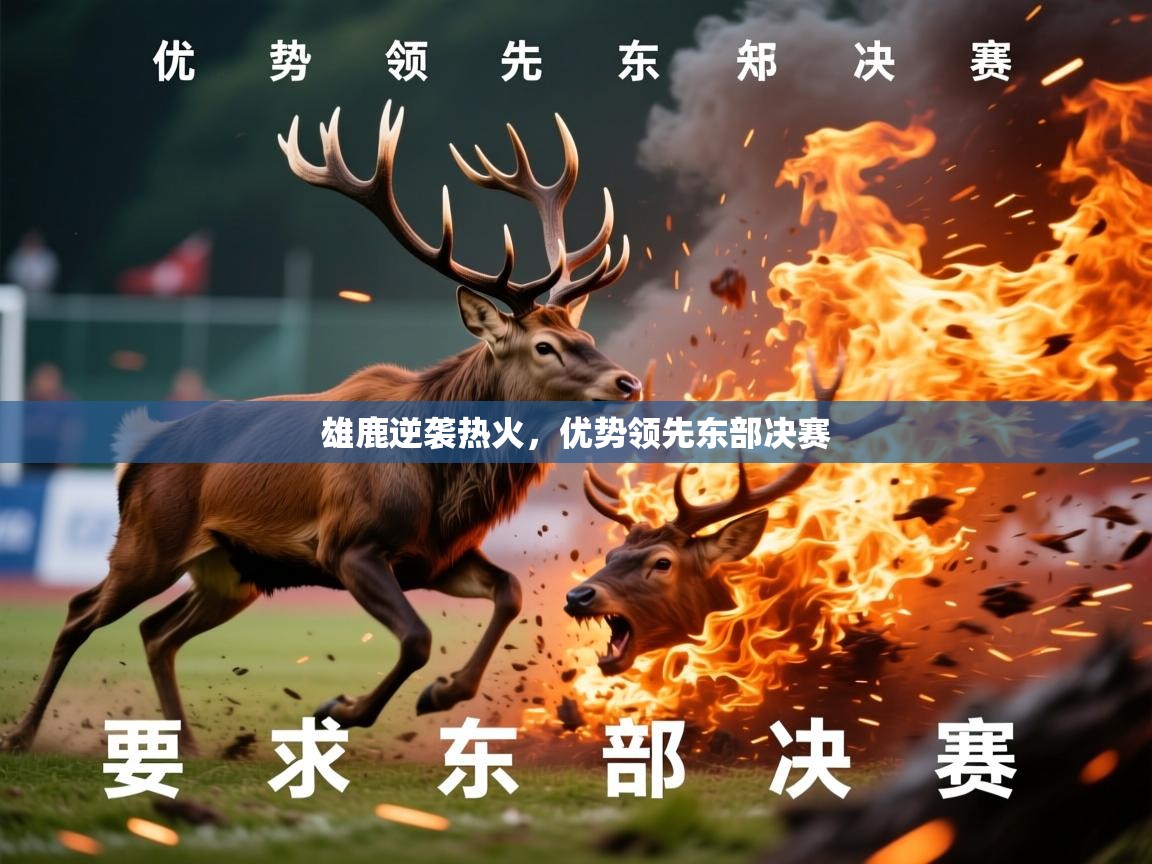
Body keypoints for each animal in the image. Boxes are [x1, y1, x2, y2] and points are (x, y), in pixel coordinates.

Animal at [2, 102, 642, 755]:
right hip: (148, 541)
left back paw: (188, 746)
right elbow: (416, 639)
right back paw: (24, 734)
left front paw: (441, 692)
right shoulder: (348, 546)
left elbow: (510, 592)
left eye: (584, 335)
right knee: (80, 612)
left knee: (157, 631)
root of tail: (136, 455)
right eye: (544, 346)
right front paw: (338, 709)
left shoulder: (441, 556)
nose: (627, 383)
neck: (442, 483)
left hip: (233, 572)